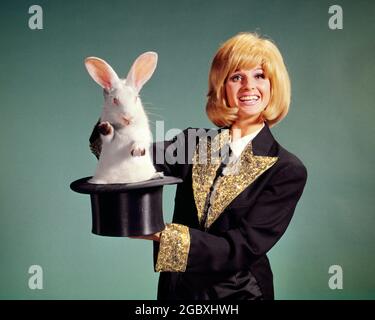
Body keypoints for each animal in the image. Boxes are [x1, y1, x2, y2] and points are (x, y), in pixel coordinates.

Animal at [85, 51, 162, 184]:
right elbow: (108, 137)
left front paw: (138, 150)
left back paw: (157, 175)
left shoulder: (144, 133)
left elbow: (142, 139)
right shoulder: (108, 141)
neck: (126, 128)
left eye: (136, 98)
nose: (128, 117)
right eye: (115, 100)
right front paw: (105, 127)